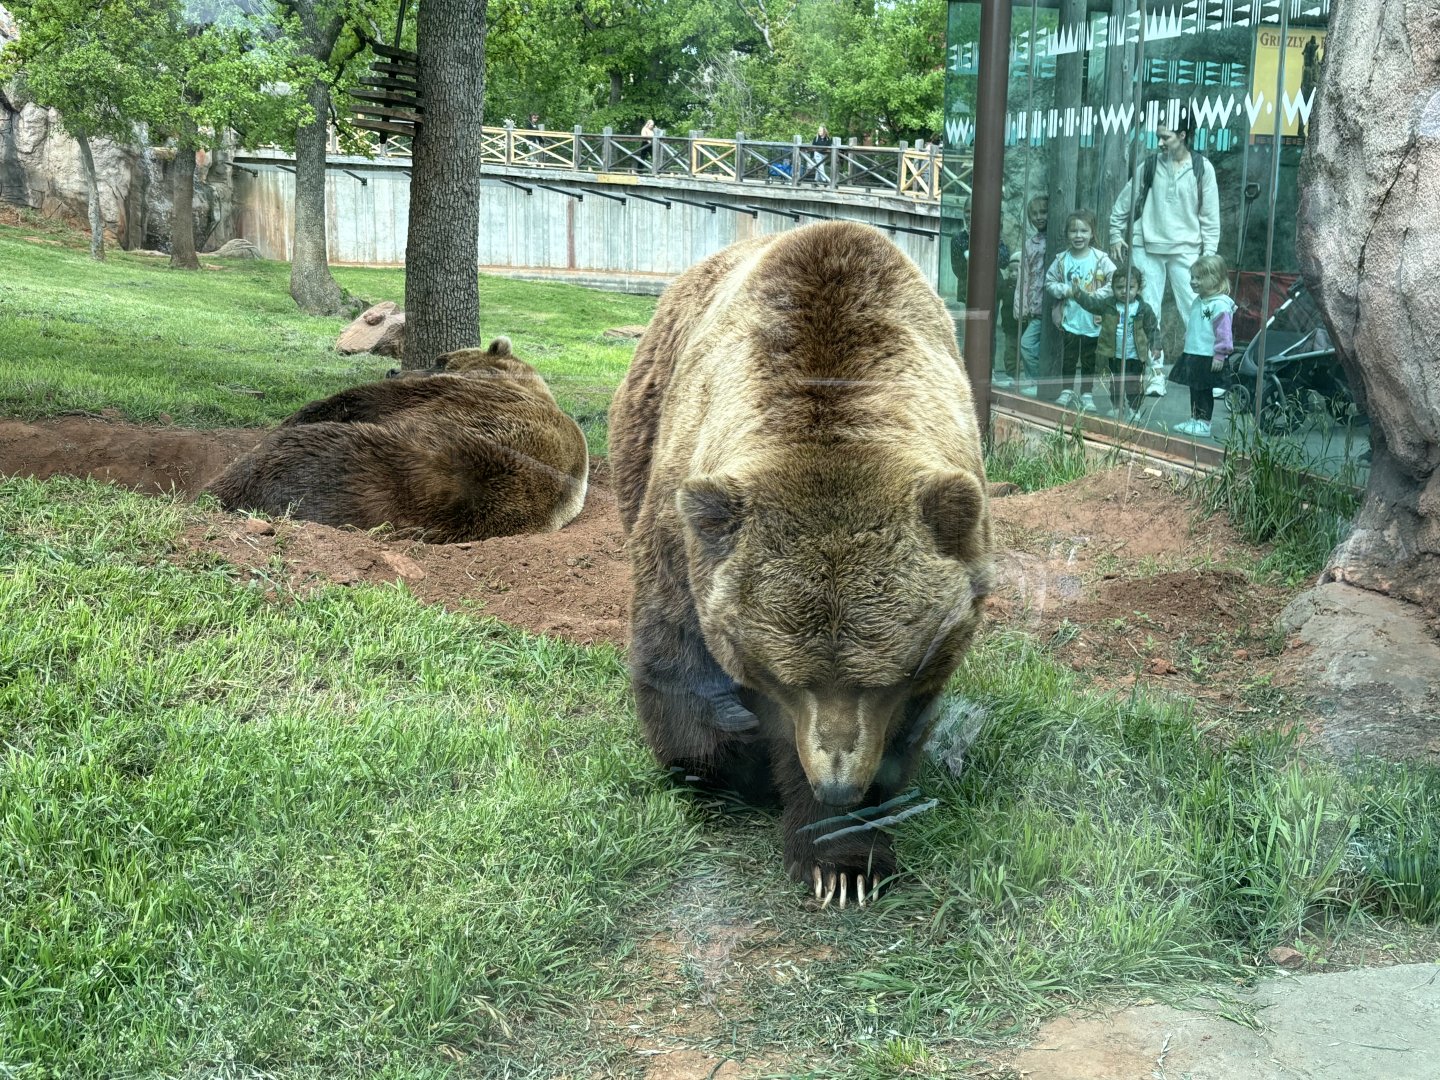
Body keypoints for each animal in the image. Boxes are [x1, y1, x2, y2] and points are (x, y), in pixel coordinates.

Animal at [608, 220, 993, 909]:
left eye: (883, 679)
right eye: (790, 677)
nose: (836, 782)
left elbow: (899, 730)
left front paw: (844, 862)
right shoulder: (685, 533)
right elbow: (679, 663)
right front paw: (733, 770)